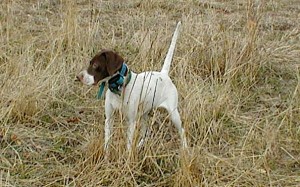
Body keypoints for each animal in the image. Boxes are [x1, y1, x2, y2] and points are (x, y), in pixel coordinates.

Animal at [76, 21, 186, 154]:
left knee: (182, 131)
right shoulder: (109, 119)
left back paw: (185, 149)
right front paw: (106, 157)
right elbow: (107, 143)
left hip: (173, 114)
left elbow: (128, 145)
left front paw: (127, 157)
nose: (78, 77)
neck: (119, 88)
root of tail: (163, 74)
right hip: (144, 114)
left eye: (96, 65)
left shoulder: (131, 122)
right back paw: (140, 146)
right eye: (90, 63)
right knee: (146, 133)